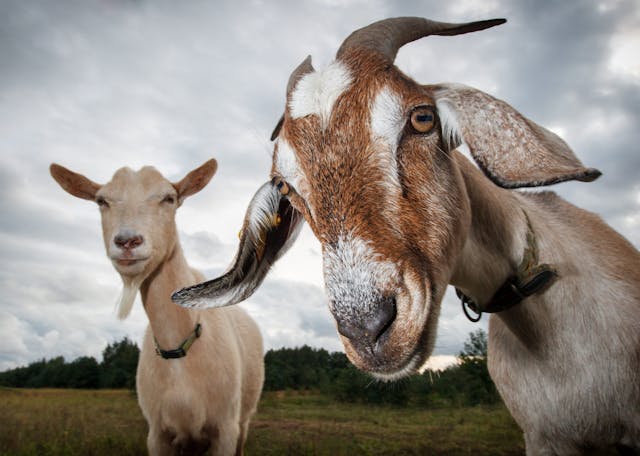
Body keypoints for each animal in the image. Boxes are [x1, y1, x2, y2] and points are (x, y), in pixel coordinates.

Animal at [50, 159, 264, 456]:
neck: (179, 347)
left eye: (169, 198)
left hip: (244, 418)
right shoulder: (157, 434)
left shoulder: (225, 430)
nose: (127, 241)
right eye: (101, 201)